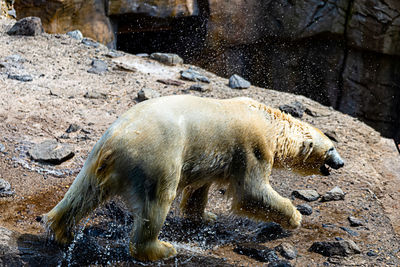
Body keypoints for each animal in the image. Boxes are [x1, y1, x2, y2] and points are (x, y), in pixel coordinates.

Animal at [43, 96, 344, 262]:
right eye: (331, 148)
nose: (341, 163)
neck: (270, 123)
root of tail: (114, 143)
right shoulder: (253, 148)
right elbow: (251, 192)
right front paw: (295, 217)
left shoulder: (211, 155)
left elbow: (199, 189)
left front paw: (205, 216)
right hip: (156, 158)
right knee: (157, 201)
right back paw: (161, 249)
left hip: (97, 160)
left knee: (83, 192)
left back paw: (61, 229)